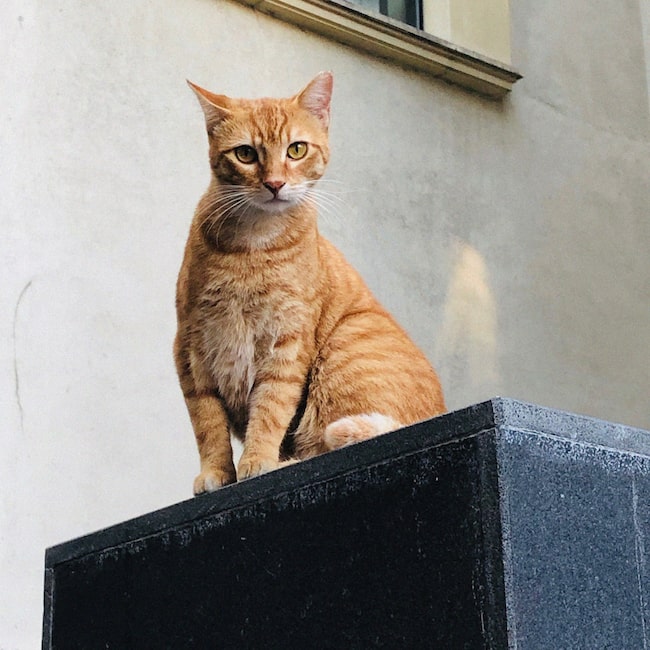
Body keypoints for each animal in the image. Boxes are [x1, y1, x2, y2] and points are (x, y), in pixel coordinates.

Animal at [175, 72, 442, 492]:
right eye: (245, 154)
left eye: (296, 150)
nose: (275, 183)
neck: (252, 246)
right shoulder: (191, 347)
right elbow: (208, 423)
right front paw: (216, 472)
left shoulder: (287, 341)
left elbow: (270, 407)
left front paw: (258, 461)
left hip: (345, 347)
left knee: (326, 445)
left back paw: (285, 462)